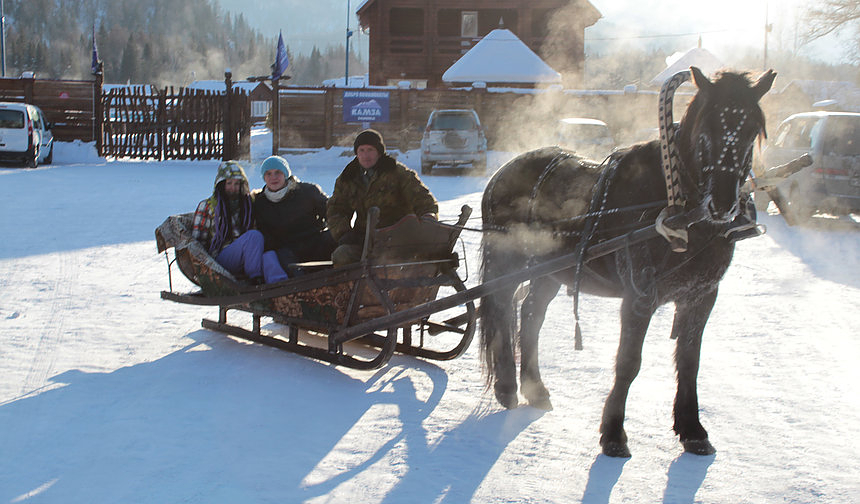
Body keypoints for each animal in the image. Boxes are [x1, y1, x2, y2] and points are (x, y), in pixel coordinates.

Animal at [480, 66, 776, 456]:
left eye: (752, 130)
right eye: (706, 130)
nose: (723, 204)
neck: (679, 210)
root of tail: (502, 172)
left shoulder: (701, 296)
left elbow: (689, 361)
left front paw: (692, 429)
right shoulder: (639, 297)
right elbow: (629, 362)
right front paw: (613, 434)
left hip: (553, 271)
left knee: (530, 314)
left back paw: (535, 388)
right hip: (507, 262)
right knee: (502, 309)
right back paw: (507, 388)